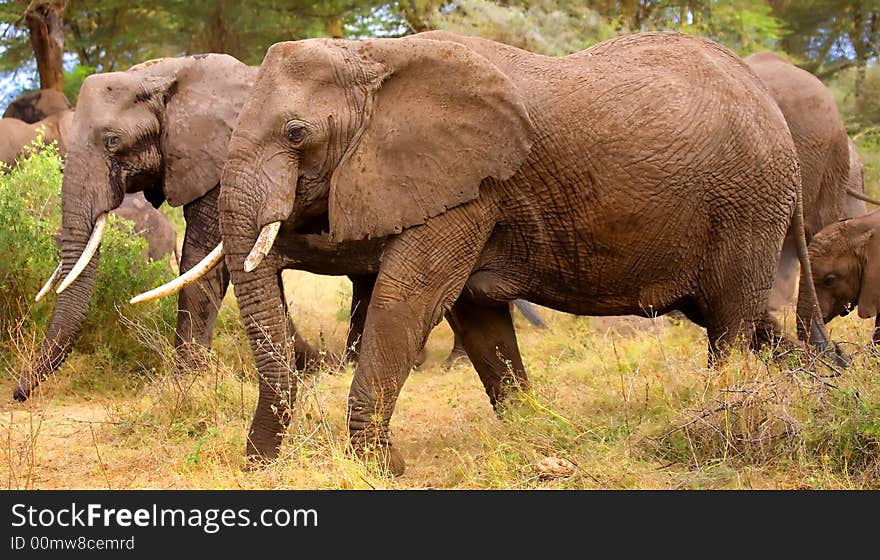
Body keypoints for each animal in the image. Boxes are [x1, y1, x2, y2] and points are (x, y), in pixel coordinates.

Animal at [196, 30, 828, 474]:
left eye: (296, 133)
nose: (254, 468)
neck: (376, 56)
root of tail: (769, 104)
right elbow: (475, 316)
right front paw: (531, 433)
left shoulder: (470, 184)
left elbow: (409, 298)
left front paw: (379, 469)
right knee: (748, 320)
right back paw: (822, 383)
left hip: (748, 203)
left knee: (730, 322)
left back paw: (723, 417)